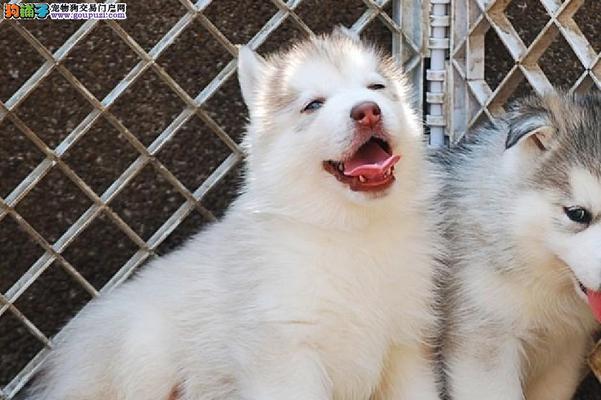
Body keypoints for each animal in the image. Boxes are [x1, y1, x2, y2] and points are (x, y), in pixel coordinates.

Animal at [27, 30, 440, 400]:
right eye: (313, 105)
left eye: (377, 87)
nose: (367, 111)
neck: (350, 231)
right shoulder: (286, 354)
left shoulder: (406, 347)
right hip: (140, 352)